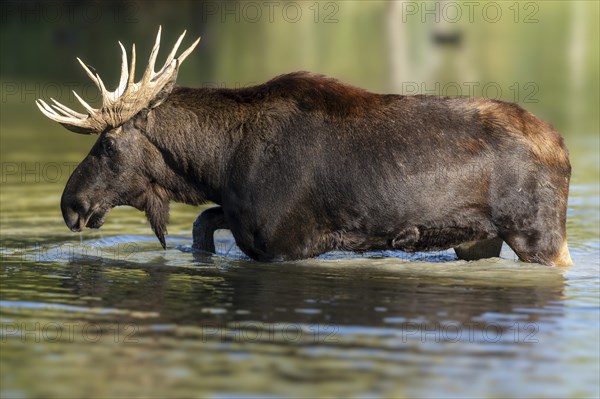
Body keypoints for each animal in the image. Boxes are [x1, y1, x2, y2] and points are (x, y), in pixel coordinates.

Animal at [35, 28, 576, 266]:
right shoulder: (241, 220)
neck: (217, 167)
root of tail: (564, 149)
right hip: (478, 239)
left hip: (538, 233)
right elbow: (203, 225)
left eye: (107, 144)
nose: (70, 205)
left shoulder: (286, 243)